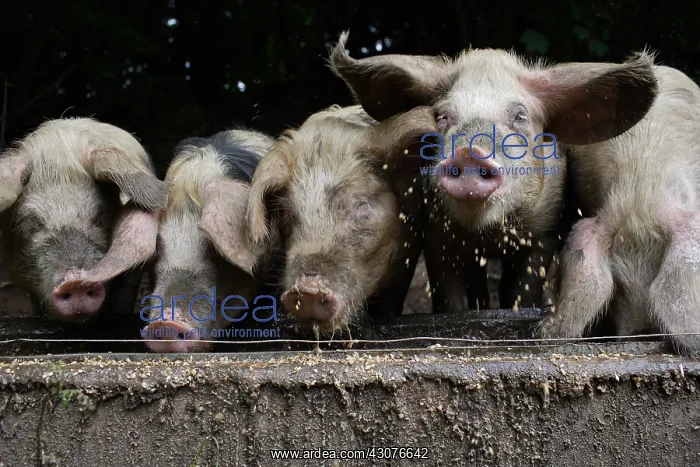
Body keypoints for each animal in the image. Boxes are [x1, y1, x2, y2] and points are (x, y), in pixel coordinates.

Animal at [328, 31, 656, 316]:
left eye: (520, 115)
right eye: (442, 116)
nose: (469, 153)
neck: (489, 235)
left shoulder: (545, 230)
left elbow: (526, 286)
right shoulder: (436, 236)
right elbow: (448, 294)